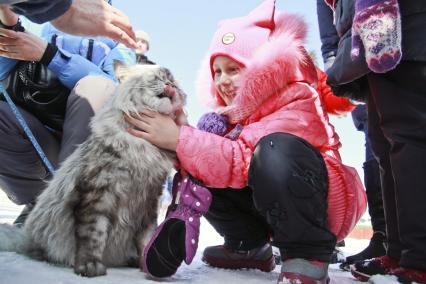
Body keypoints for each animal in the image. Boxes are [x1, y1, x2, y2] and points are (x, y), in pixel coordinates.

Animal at [0, 63, 186, 276]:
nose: (170, 85)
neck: (143, 147)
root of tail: (27, 239)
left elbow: (147, 239)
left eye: (172, 81)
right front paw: (90, 266)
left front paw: (146, 264)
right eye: (156, 77)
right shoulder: (97, 195)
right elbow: (93, 236)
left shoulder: (149, 201)